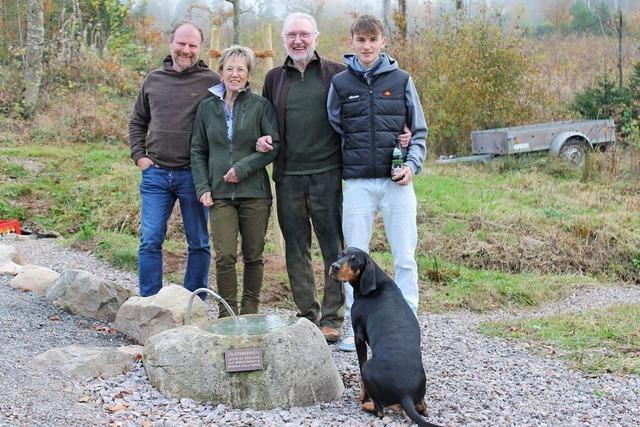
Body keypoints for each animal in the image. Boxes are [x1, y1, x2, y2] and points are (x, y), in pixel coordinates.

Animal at [330, 247, 440, 427]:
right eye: (341, 254)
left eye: (354, 260)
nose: (334, 266)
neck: (374, 285)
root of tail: (405, 394)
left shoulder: (359, 336)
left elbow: (360, 371)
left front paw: (363, 397)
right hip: (421, 395)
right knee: (423, 408)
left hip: (370, 370)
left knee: (380, 411)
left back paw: (367, 405)